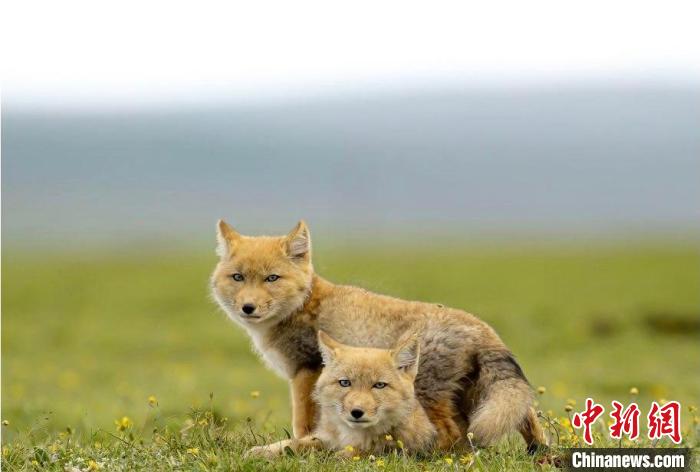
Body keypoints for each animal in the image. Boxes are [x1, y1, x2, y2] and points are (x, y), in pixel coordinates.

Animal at [247, 330, 436, 458]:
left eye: (379, 385)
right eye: (345, 383)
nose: (357, 412)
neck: (351, 437)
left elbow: (353, 454)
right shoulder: (325, 438)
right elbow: (294, 443)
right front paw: (264, 451)